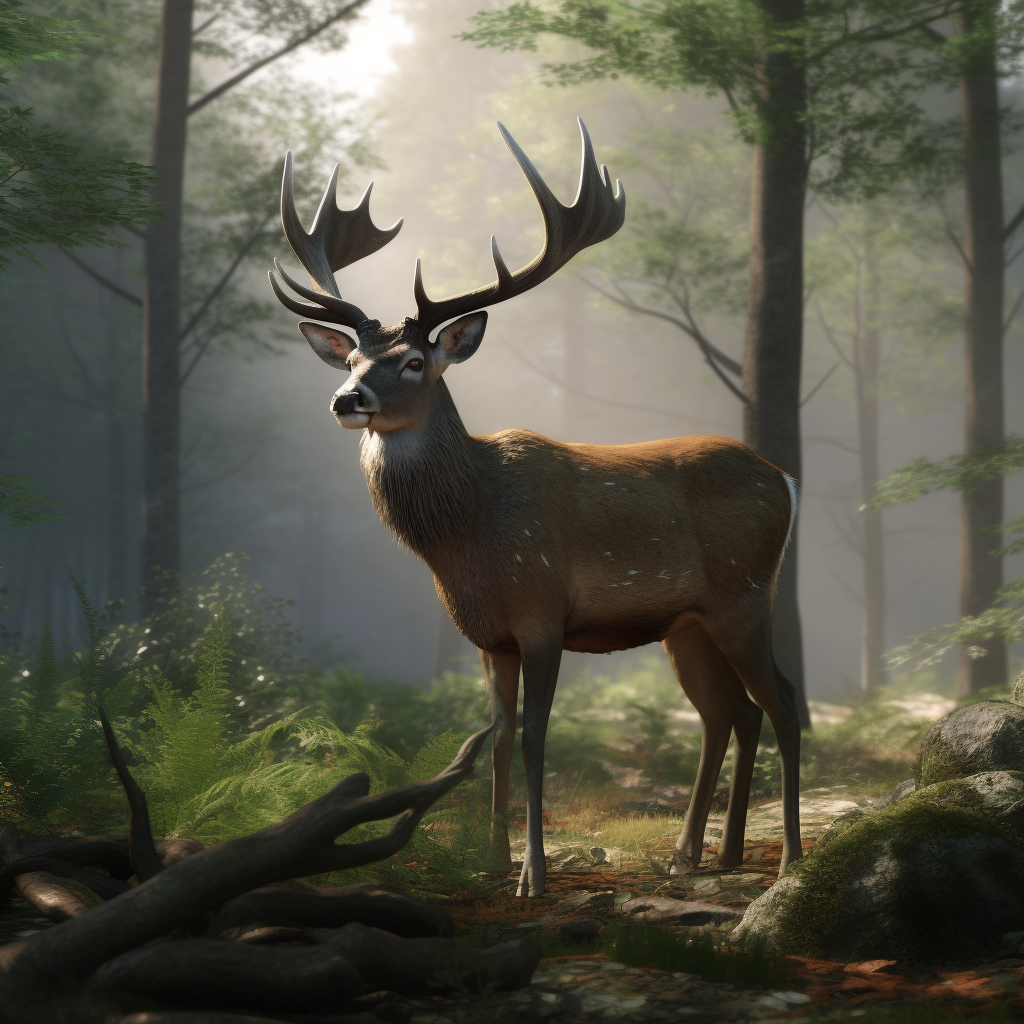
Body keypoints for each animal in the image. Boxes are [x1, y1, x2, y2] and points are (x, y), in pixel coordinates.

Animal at [269, 120, 802, 898]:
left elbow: (534, 739)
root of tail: (786, 480)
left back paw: (788, 858)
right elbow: (493, 736)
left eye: (414, 363)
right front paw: (491, 861)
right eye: (350, 361)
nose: (346, 400)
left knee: (782, 704)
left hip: (746, 591)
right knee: (729, 714)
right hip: (688, 622)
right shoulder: (487, 636)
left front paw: (535, 876)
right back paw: (704, 853)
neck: (469, 535)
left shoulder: (544, 611)